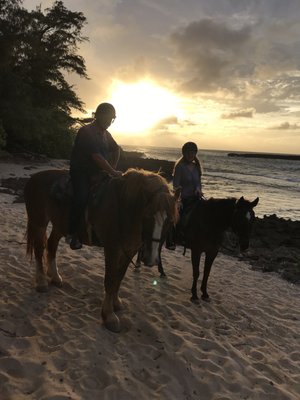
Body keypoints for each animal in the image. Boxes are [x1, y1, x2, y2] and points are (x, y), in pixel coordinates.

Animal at [25, 168, 178, 332]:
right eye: (148, 215)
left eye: (169, 221)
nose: (151, 259)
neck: (124, 209)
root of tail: (34, 177)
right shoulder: (112, 249)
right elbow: (110, 280)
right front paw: (109, 316)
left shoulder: (129, 251)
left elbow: (119, 277)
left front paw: (116, 302)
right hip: (39, 222)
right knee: (39, 249)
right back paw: (41, 282)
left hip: (60, 225)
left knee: (52, 245)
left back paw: (55, 276)